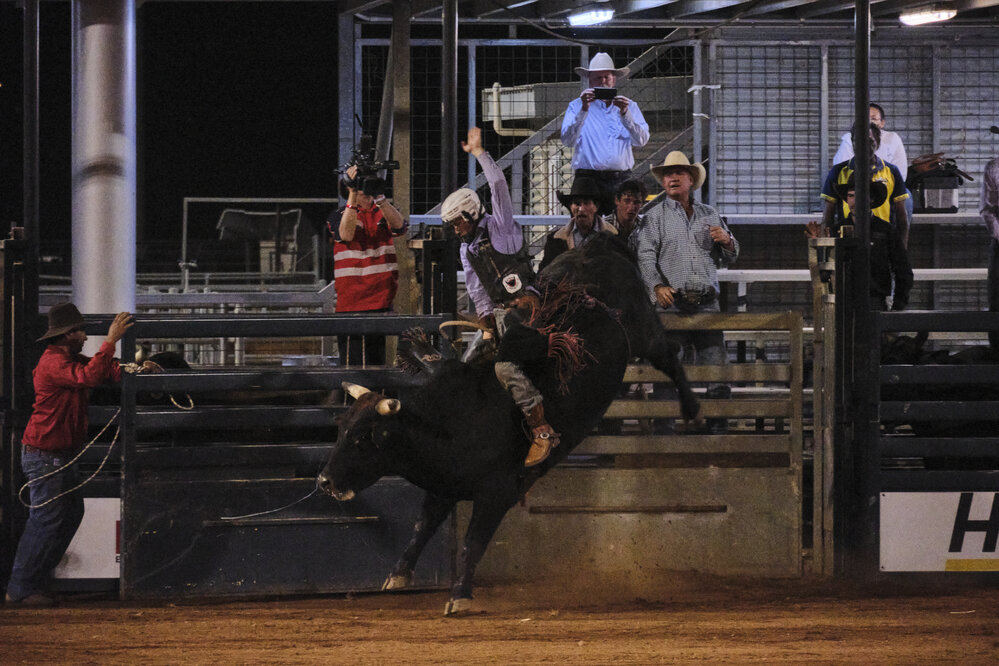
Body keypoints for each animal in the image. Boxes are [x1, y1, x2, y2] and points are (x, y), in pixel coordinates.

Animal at [318, 234, 700, 615]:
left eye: (364, 438)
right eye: (340, 429)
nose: (324, 481)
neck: (452, 422)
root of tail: (596, 245)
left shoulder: (498, 492)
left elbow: (473, 542)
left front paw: (460, 595)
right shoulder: (443, 486)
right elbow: (421, 527)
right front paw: (398, 576)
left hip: (643, 329)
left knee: (668, 353)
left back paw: (692, 407)